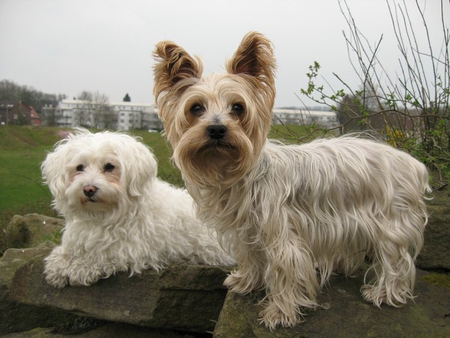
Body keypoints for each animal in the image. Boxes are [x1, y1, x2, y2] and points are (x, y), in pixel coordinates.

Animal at [41, 129, 236, 288]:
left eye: (109, 166)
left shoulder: (132, 248)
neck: (104, 215)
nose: (89, 189)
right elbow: (66, 251)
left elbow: (105, 255)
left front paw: (82, 267)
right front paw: (58, 264)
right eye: (79, 167)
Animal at [153, 31, 430, 328]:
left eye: (238, 108)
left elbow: (285, 270)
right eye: (196, 108)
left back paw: (384, 293)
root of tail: (412, 163)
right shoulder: (246, 232)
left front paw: (280, 312)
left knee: (396, 260)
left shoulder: (282, 234)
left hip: (391, 223)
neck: (237, 173)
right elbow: (250, 257)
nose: (217, 129)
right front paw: (247, 281)